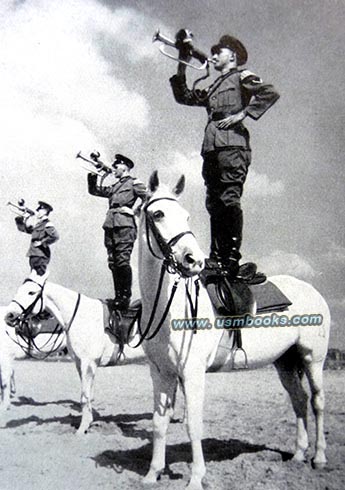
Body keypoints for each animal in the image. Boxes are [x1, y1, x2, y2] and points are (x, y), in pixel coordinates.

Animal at [4, 274, 125, 434]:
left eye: (31, 292)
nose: (9, 316)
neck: (82, 316)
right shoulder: (81, 363)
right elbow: (87, 396)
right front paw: (88, 423)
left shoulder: (88, 362)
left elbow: (84, 396)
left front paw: (81, 429)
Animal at [138, 171, 330, 490]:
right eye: (158, 214)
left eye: (187, 216)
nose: (193, 260)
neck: (170, 305)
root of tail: (312, 290)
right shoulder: (160, 373)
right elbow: (159, 423)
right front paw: (152, 474)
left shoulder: (192, 373)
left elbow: (193, 424)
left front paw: (196, 478)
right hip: (285, 363)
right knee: (299, 400)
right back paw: (298, 455)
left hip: (312, 358)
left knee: (316, 402)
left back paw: (320, 458)